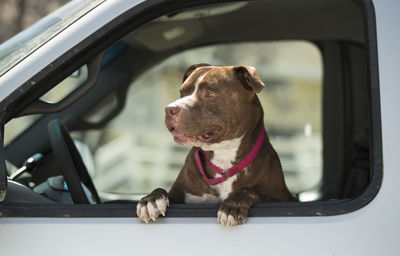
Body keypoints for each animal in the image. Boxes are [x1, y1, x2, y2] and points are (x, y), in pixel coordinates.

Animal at [138, 63, 294, 226]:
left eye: (209, 93)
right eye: (182, 92)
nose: (169, 109)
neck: (224, 158)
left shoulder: (282, 199)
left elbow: (250, 191)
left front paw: (232, 205)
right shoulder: (180, 196)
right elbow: (162, 190)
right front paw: (151, 200)